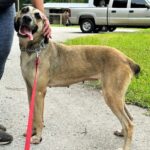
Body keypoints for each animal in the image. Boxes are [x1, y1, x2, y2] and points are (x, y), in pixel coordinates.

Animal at [14, 6, 140, 150]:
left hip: (111, 96)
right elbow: (33, 115)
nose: (26, 18)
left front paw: (38, 137)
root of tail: (126, 59)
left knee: (129, 124)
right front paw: (32, 132)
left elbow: (39, 118)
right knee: (129, 118)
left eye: (38, 16)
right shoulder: (30, 90)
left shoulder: (40, 92)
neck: (34, 50)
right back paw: (122, 133)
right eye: (24, 10)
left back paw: (125, 146)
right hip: (118, 96)